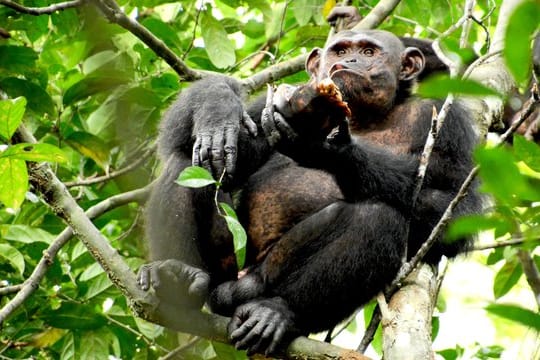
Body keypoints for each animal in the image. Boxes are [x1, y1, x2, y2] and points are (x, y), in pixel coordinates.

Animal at [138, 29, 480, 356]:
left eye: (369, 51)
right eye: (340, 51)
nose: (350, 61)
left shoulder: (448, 121)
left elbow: (456, 204)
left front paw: (325, 149)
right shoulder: (266, 108)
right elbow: (188, 138)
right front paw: (218, 111)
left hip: (261, 280)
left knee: (378, 217)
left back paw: (276, 313)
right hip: (226, 267)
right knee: (186, 164)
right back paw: (177, 275)